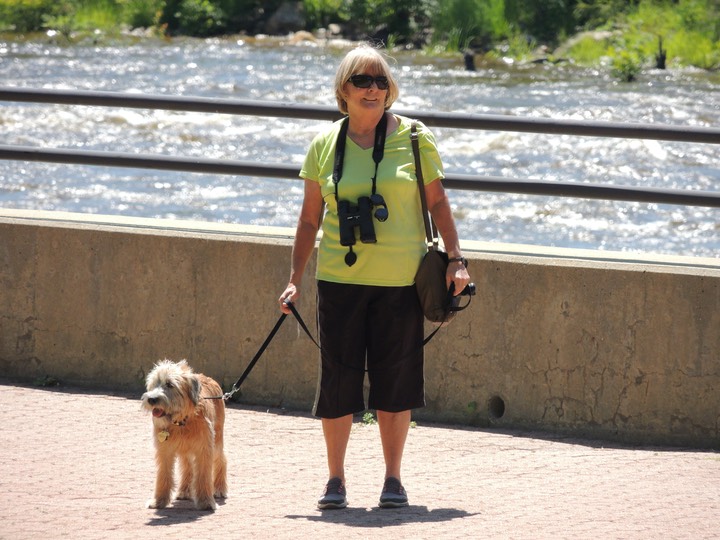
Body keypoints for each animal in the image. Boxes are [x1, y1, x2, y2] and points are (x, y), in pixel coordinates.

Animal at [141, 358, 228, 510]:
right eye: (154, 384)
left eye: (169, 385)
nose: (151, 399)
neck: (181, 421)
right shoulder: (165, 451)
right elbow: (163, 476)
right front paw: (159, 501)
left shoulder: (204, 449)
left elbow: (203, 476)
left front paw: (206, 502)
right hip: (185, 450)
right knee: (188, 467)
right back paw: (184, 491)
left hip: (217, 441)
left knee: (221, 460)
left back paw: (219, 488)